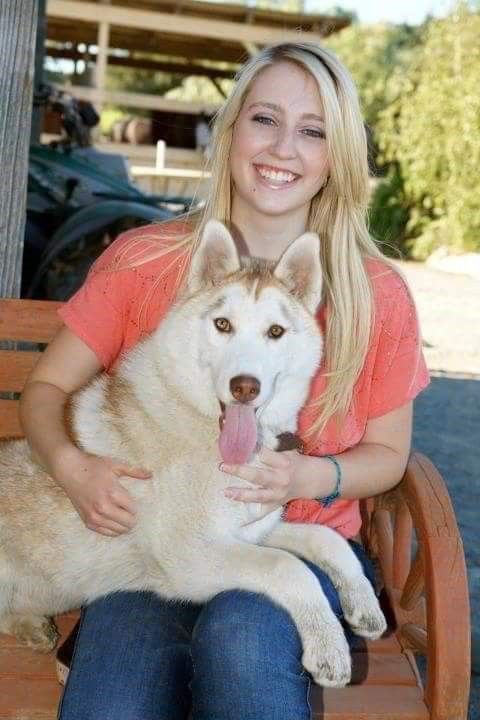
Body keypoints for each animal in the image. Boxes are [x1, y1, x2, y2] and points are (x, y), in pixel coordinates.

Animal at [0, 219, 384, 688]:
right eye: (222, 324)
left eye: (275, 331)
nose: (245, 386)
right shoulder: (192, 556)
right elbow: (288, 568)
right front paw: (329, 645)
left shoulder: (252, 530)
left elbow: (326, 539)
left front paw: (362, 602)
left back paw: (32, 626)